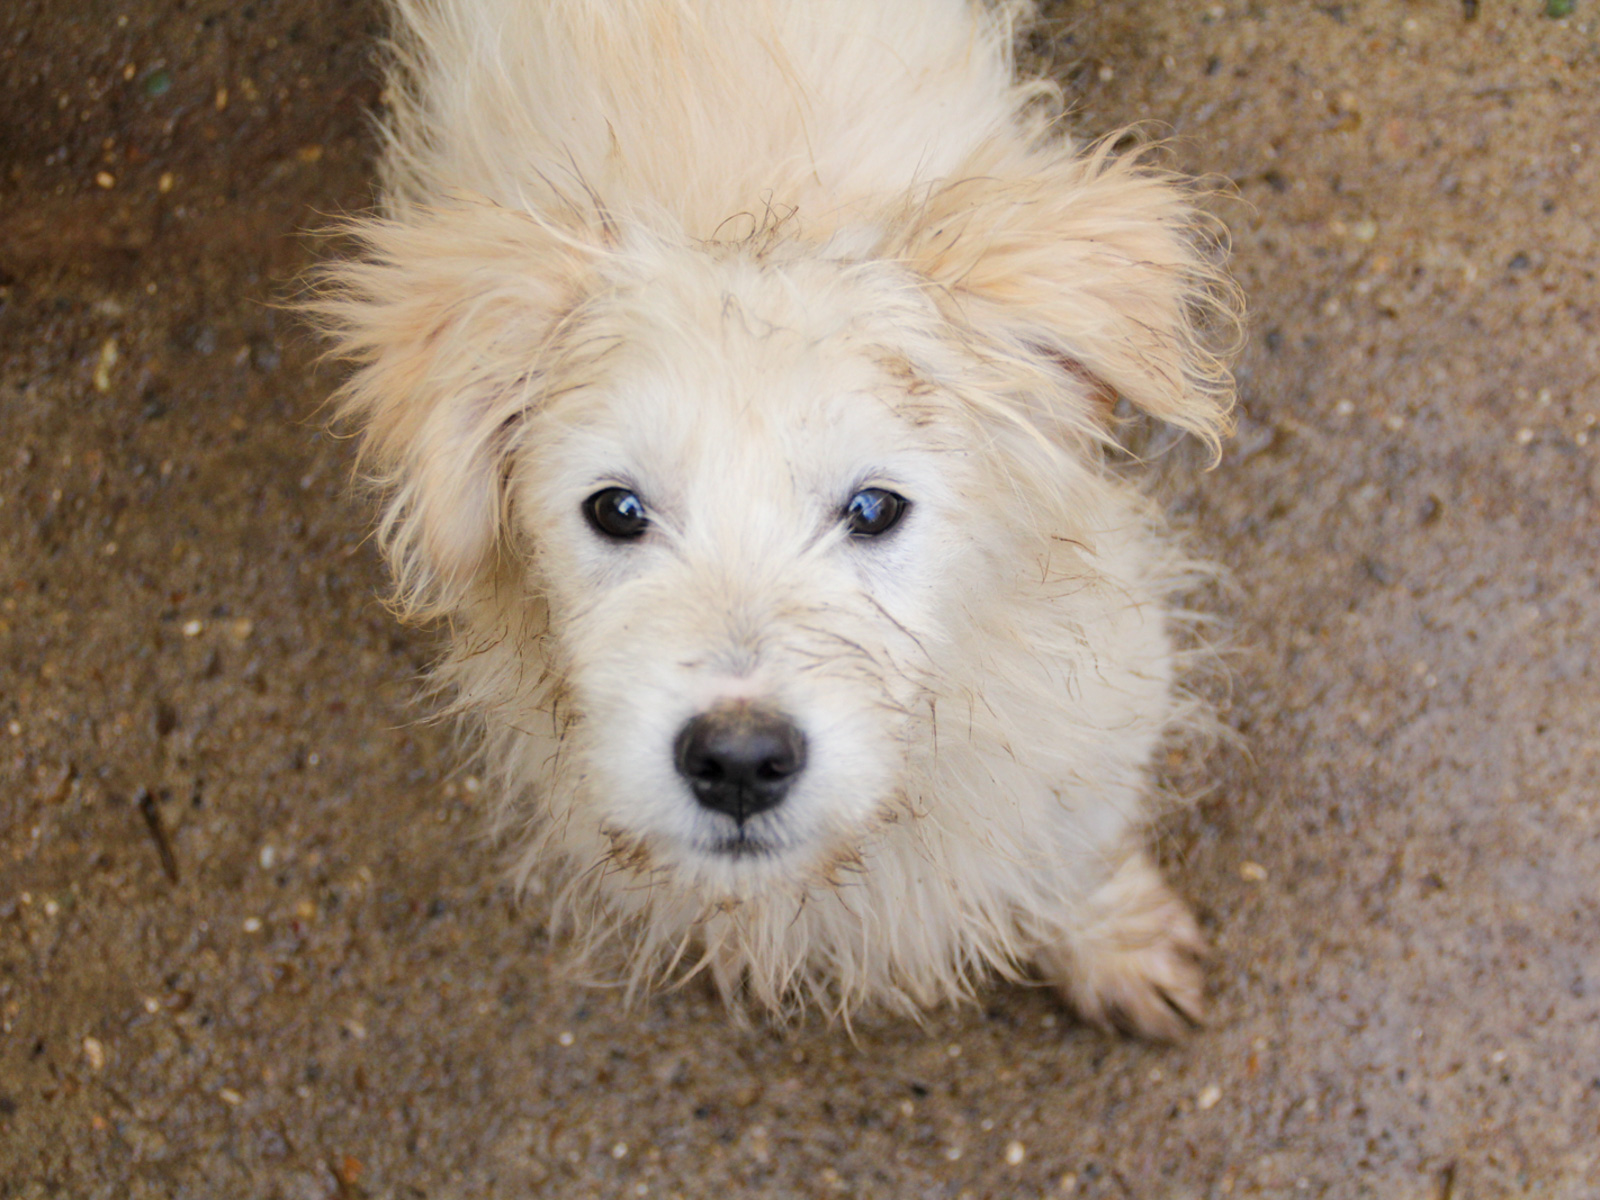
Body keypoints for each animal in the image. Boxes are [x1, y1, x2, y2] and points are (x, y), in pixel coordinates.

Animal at [311, 0, 1236, 1039]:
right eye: (615, 509)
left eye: (874, 507)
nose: (740, 762)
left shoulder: (1095, 693)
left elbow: (1075, 842)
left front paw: (1116, 944)